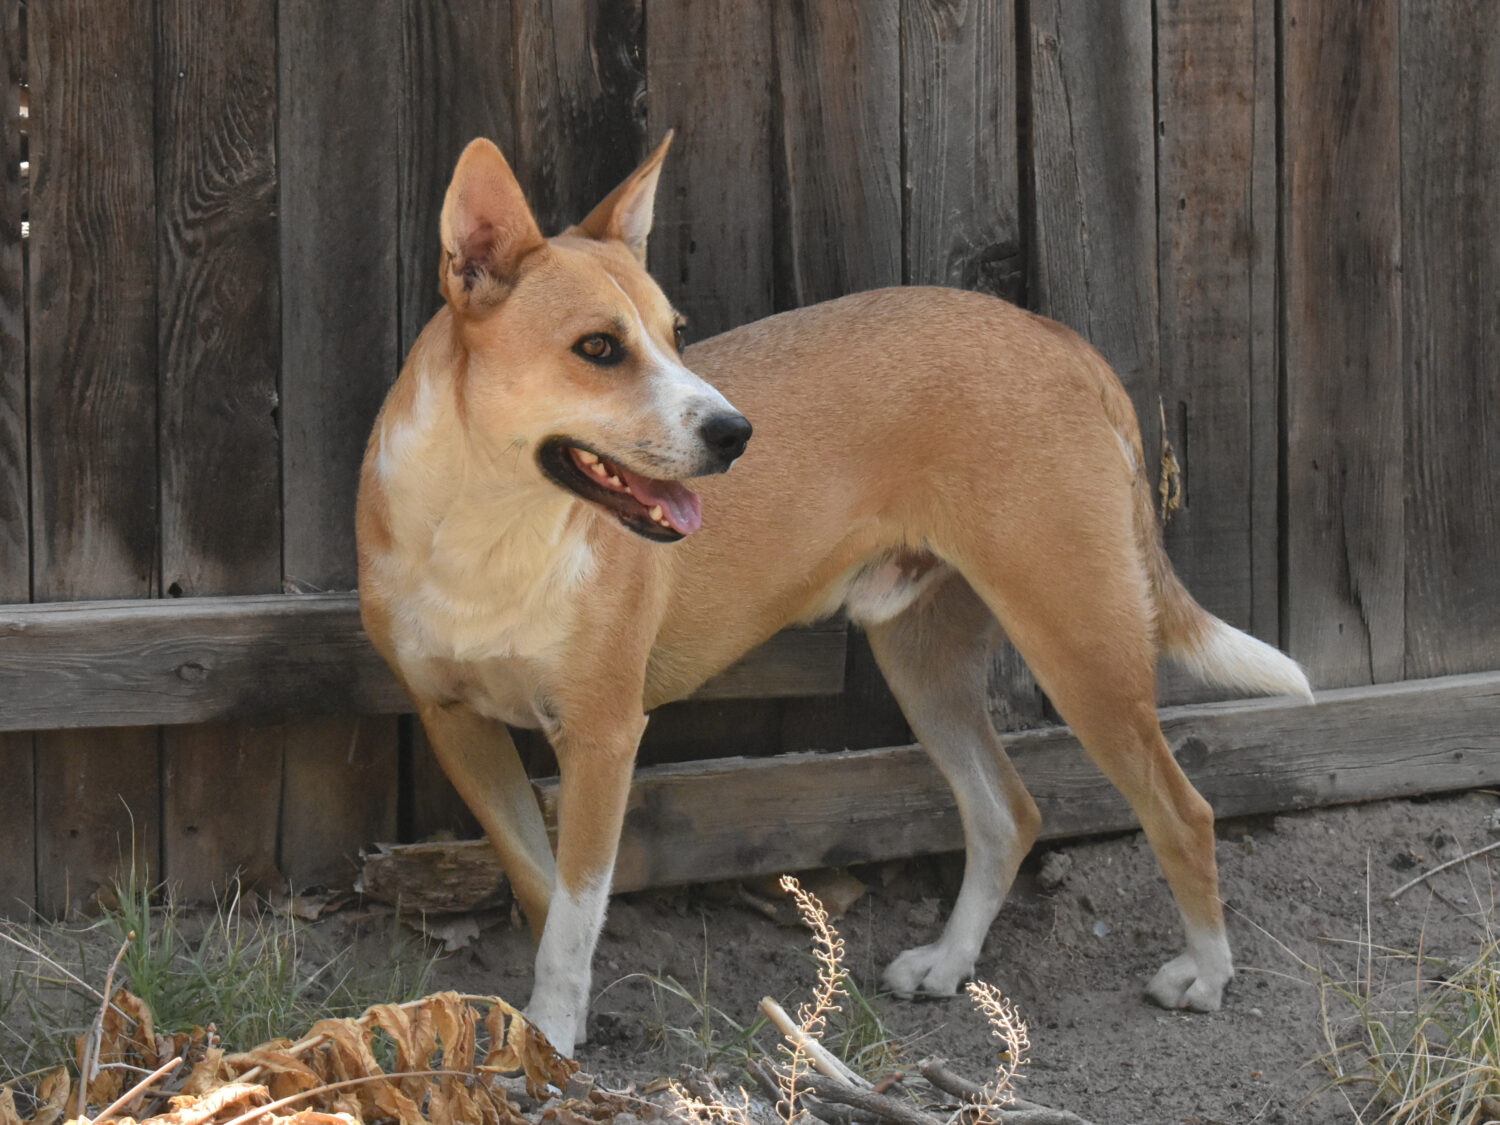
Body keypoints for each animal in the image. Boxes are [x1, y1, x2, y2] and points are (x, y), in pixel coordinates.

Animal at [357, 134, 1308, 1056]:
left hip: (1080, 645)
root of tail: (1055, 336)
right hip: (925, 661)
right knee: (1008, 812)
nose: (736, 433)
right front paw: (551, 1029)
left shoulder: (603, 734)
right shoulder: (456, 726)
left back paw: (1205, 973)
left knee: (1184, 811)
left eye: (676, 333)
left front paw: (554, 1033)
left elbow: (574, 911)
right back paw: (951, 962)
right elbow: (542, 887)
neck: (491, 520)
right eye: (597, 347)